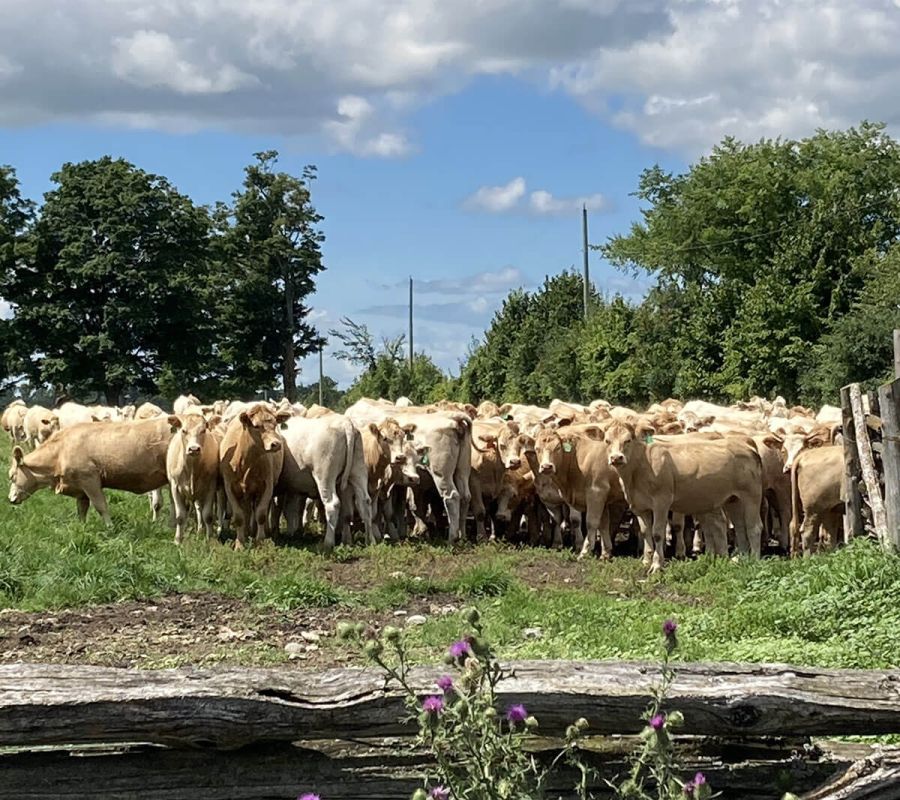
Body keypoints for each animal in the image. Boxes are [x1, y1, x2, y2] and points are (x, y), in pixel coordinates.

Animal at [8, 417, 173, 523]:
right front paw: (82, 528)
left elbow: (101, 507)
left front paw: (109, 527)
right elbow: (82, 509)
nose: (10, 499)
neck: (60, 451)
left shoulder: (90, 480)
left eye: (12, 476)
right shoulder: (80, 488)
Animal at [166, 413, 221, 543]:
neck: (192, 468)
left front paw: (209, 538)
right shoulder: (175, 488)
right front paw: (177, 540)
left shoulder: (210, 488)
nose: (194, 449)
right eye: (184, 431)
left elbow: (208, 515)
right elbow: (180, 516)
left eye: (203, 430)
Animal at [219, 403, 291, 548]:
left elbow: (261, 514)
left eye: (275, 424)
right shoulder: (229, 488)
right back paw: (247, 533)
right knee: (246, 512)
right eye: (256, 426)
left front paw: (260, 541)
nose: (276, 444)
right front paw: (240, 543)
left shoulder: (267, 486)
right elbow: (239, 517)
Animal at [604, 420, 764, 571]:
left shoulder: (661, 503)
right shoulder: (639, 506)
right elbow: (645, 532)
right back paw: (742, 557)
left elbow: (657, 533)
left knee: (754, 527)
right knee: (740, 527)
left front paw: (657, 565)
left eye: (628, 440)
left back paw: (754, 560)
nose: (616, 458)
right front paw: (646, 561)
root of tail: (745, 443)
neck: (640, 466)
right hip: (733, 499)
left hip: (752, 496)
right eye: (607, 440)